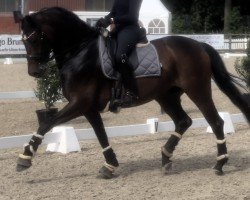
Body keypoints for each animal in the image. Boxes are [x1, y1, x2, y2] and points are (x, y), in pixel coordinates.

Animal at [14, 7, 250, 178]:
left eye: (33, 39)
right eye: (23, 40)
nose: (34, 72)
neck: (79, 52)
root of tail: (199, 45)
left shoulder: (79, 103)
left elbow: (47, 123)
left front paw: (25, 158)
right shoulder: (88, 107)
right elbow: (101, 134)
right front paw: (110, 166)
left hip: (197, 90)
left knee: (216, 121)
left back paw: (219, 164)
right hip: (165, 95)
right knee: (183, 121)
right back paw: (166, 158)